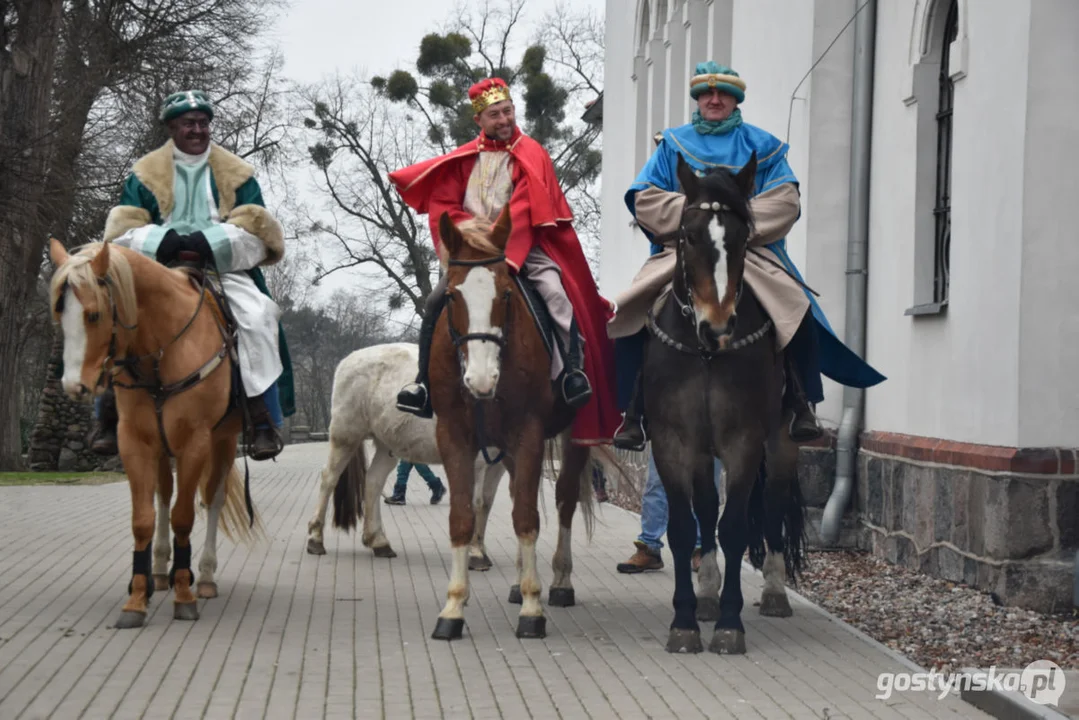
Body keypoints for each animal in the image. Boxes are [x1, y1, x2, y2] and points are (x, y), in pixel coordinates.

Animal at [48, 239, 263, 626]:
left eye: (94, 315)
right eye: (60, 312)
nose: (74, 387)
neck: (162, 351)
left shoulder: (195, 444)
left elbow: (184, 516)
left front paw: (184, 596)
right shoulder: (136, 443)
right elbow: (144, 519)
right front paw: (136, 598)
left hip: (223, 442)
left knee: (213, 499)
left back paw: (202, 577)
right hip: (164, 448)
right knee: (164, 496)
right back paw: (162, 572)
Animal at [304, 343, 504, 569]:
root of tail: (349, 360)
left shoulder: (497, 464)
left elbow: (486, 503)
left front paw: (479, 550)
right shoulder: (476, 461)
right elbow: (475, 503)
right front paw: (475, 554)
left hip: (386, 445)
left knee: (373, 481)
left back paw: (379, 541)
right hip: (346, 436)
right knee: (329, 478)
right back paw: (315, 539)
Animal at [425, 207, 604, 643]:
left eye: (506, 293)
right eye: (452, 295)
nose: (481, 379)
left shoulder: (529, 435)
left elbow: (526, 517)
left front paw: (532, 606)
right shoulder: (453, 436)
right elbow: (462, 517)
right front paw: (453, 608)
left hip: (574, 436)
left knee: (564, 500)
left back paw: (559, 581)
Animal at [638, 153, 811, 660]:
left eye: (741, 239)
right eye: (687, 236)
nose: (718, 326)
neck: (706, 356)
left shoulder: (744, 442)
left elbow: (734, 526)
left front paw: (731, 626)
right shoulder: (674, 443)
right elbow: (683, 526)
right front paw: (685, 621)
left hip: (782, 443)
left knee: (771, 506)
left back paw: (772, 592)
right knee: (705, 508)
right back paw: (708, 596)